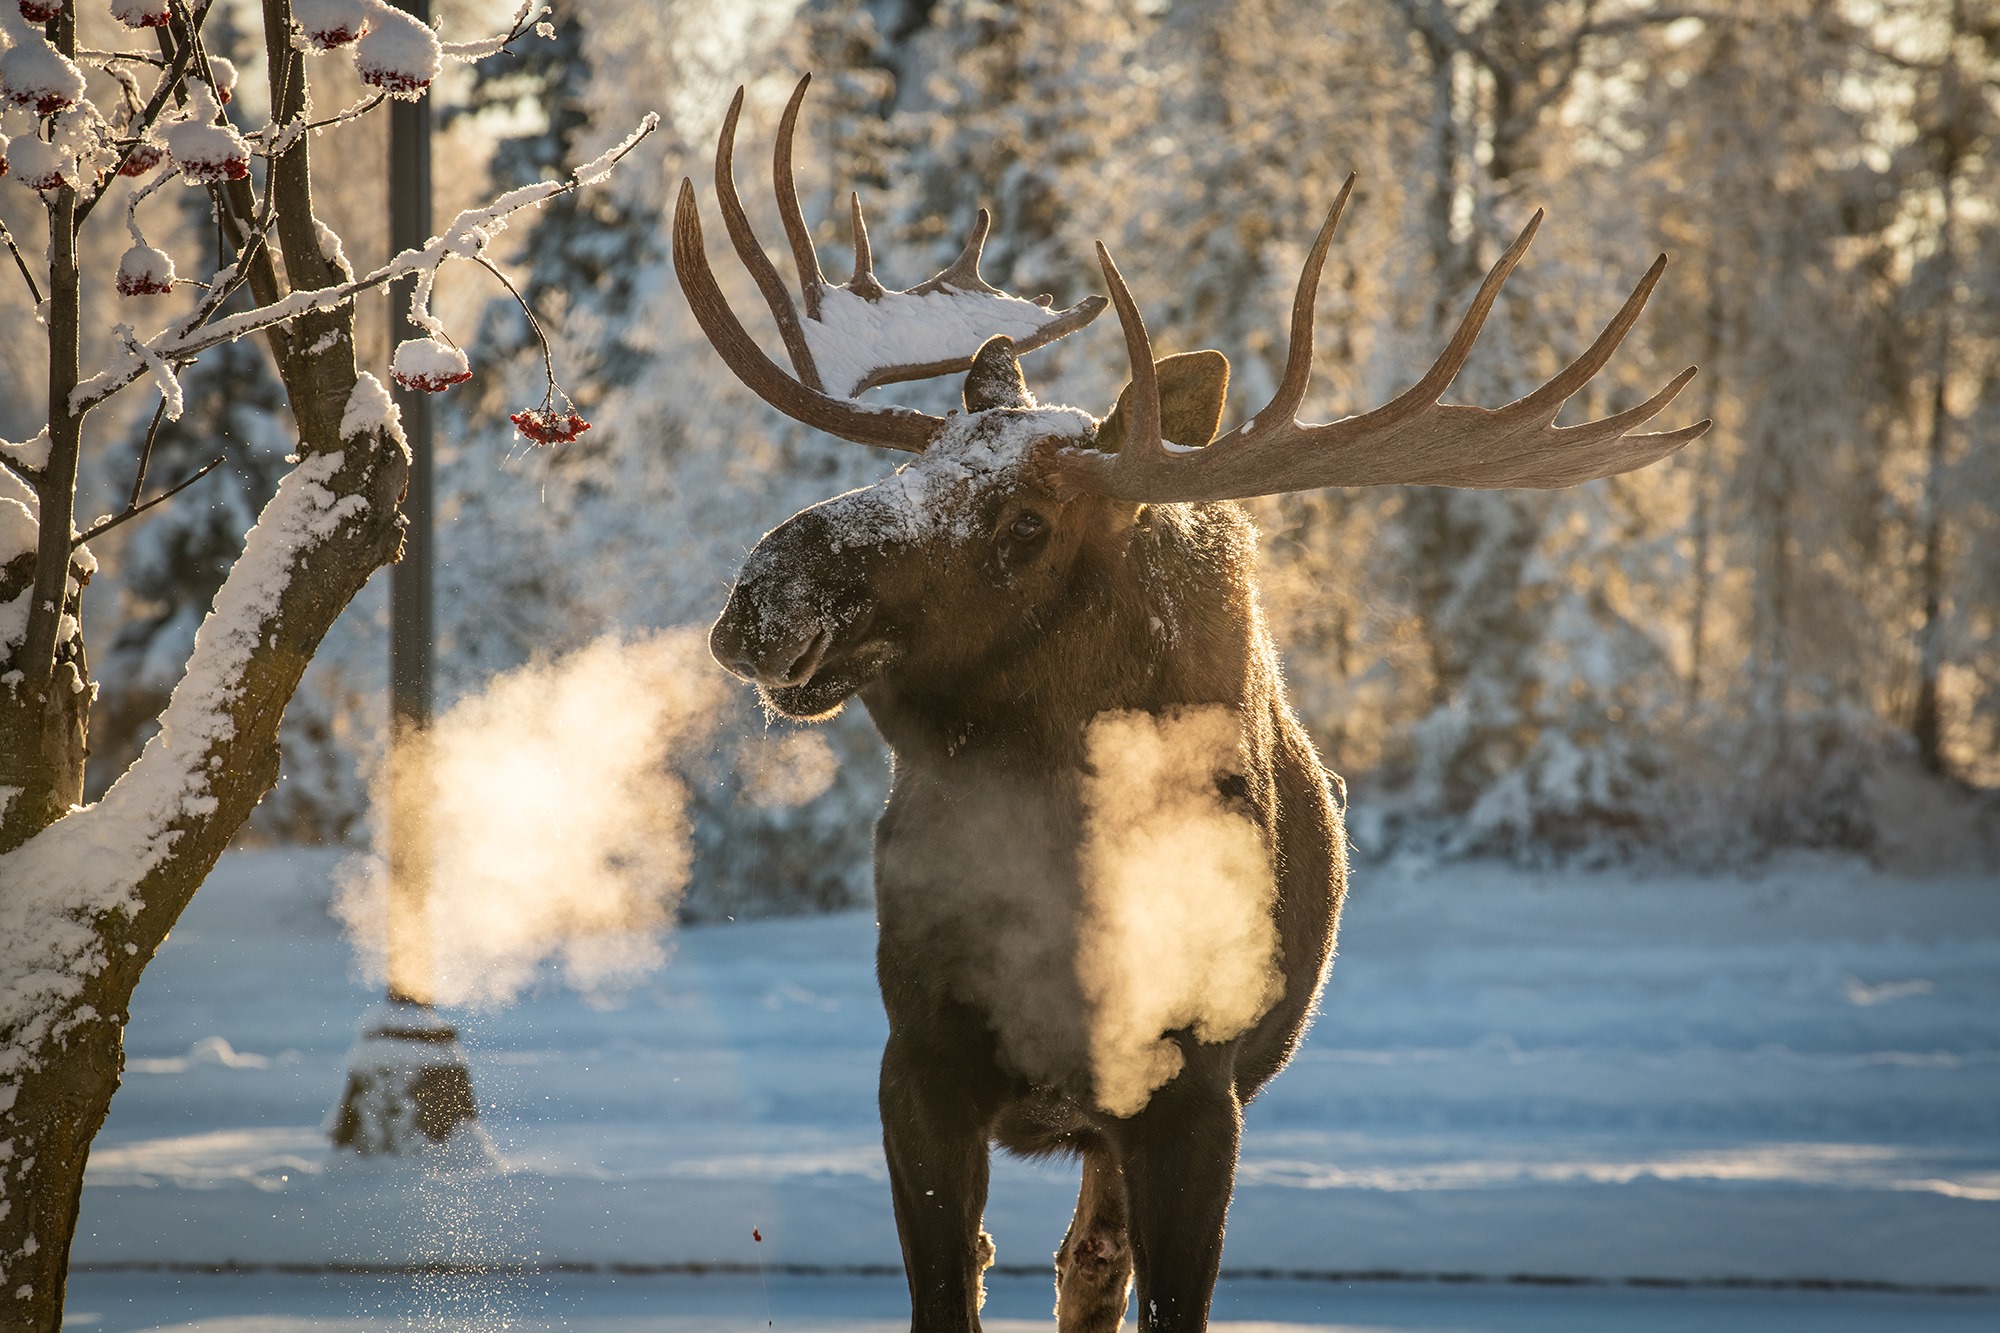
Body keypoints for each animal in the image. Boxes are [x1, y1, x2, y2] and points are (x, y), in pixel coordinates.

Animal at [676, 75, 1704, 1328]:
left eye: (1027, 523)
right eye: (913, 464)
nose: (768, 592)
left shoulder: (1194, 1089)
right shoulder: (915, 1059)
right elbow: (945, 1290)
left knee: (1089, 1264)